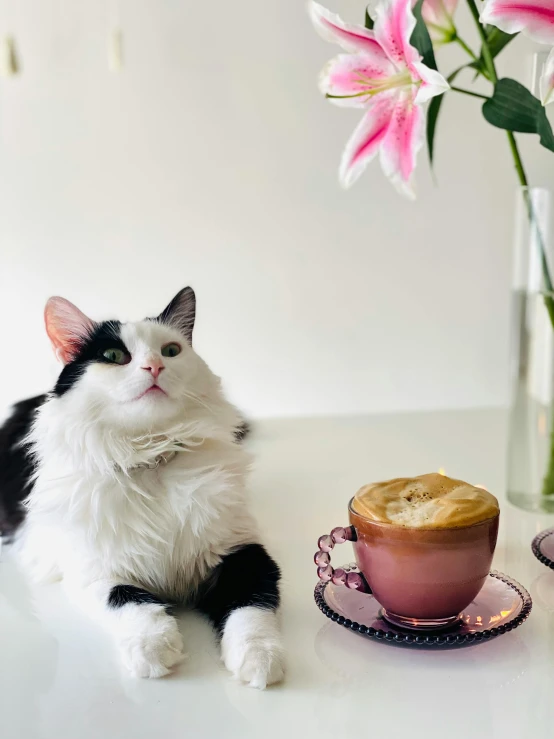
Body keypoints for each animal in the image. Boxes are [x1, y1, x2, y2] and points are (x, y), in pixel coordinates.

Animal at [0, 290, 282, 688]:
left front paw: (260, 659)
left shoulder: (240, 549)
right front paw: (153, 649)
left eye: (171, 351)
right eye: (114, 356)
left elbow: (251, 610)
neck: (152, 460)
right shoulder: (92, 570)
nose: (154, 367)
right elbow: (131, 602)